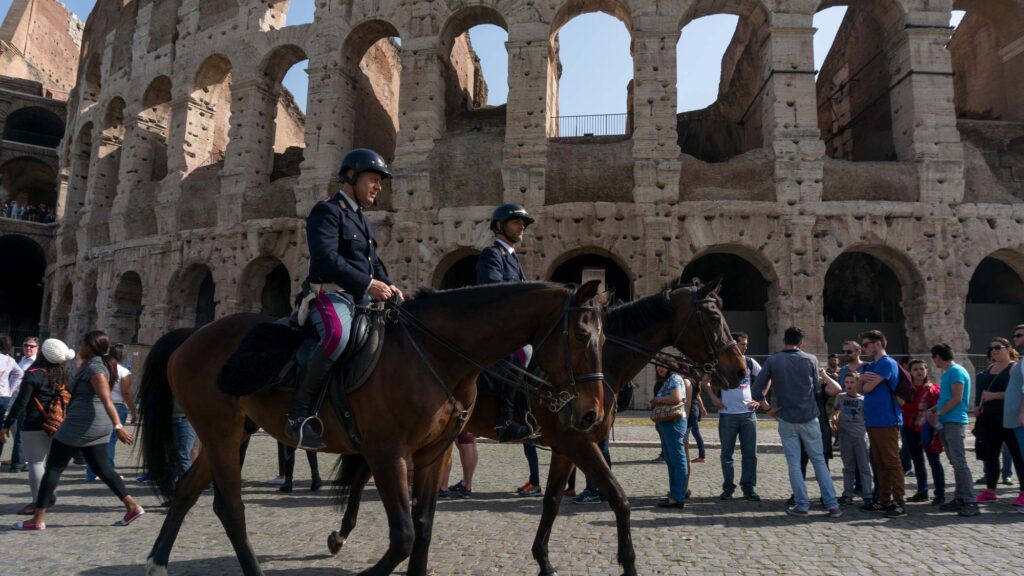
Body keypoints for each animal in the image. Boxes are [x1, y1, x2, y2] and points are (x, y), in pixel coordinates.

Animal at [140, 278, 610, 573]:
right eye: (581, 337)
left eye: (605, 339)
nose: (592, 413)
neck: (434, 354)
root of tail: (191, 335)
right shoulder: (387, 452)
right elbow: (403, 535)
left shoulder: (432, 452)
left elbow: (424, 527)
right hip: (220, 432)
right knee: (231, 509)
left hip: (232, 431)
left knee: (187, 491)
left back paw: (158, 561)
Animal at [327, 276, 745, 569]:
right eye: (713, 317)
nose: (739, 370)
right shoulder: (577, 442)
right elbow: (618, 498)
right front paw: (627, 563)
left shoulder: (569, 446)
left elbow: (553, 501)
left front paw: (543, 560)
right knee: (364, 470)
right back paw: (342, 533)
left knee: (365, 469)